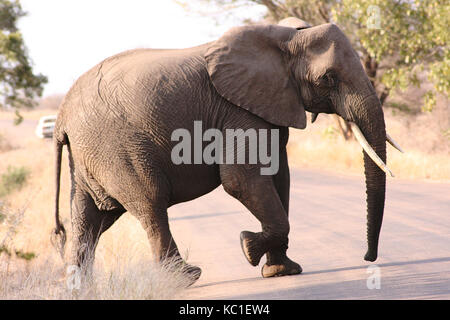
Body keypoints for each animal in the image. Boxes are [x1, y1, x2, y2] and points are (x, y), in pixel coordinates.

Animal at [51, 21, 400, 284]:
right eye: (328, 78)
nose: (368, 257)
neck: (286, 37)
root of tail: (62, 116)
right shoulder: (238, 110)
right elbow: (241, 179)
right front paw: (248, 246)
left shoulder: (270, 105)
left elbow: (279, 178)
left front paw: (281, 271)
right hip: (116, 148)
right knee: (150, 203)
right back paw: (186, 278)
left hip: (89, 155)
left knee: (89, 219)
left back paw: (80, 288)